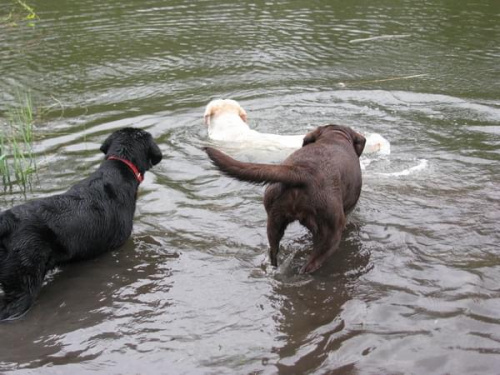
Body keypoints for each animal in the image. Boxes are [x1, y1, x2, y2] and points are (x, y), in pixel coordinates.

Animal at [205, 125, 366, 274]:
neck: (334, 137)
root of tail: (303, 171)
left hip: (274, 221)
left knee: (273, 251)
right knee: (309, 266)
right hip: (330, 233)